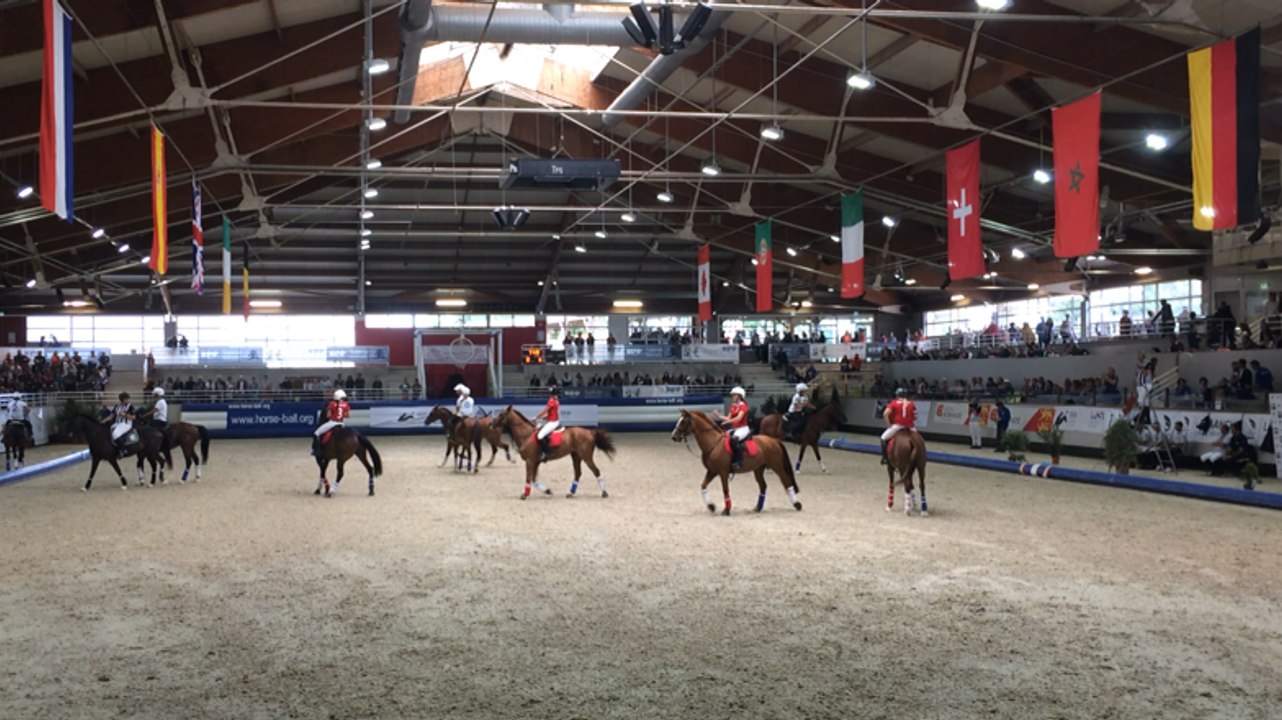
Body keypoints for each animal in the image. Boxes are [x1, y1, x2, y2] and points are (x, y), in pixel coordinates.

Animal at [670, 409, 801, 516]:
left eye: (683, 422)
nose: (673, 437)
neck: (713, 443)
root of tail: (774, 440)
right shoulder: (712, 471)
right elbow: (703, 486)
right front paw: (711, 506)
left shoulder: (723, 472)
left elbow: (725, 490)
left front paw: (726, 510)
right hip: (758, 469)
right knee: (763, 486)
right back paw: (758, 508)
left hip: (777, 466)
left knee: (786, 481)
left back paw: (797, 504)